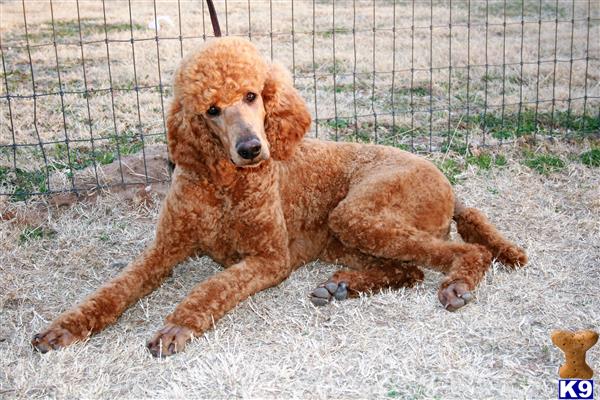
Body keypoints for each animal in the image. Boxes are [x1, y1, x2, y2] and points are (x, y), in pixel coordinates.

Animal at [32, 37, 524, 356]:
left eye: (252, 95)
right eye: (212, 110)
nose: (252, 148)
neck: (225, 185)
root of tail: (447, 184)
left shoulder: (270, 258)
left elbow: (211, 287)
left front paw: (177, 324)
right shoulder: (165, 249)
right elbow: (113, 290)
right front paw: (65, 328)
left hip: (355, 213)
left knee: (465, 251)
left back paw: (457, 283)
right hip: (346, 236)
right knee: (410, 269)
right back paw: (342, 285)